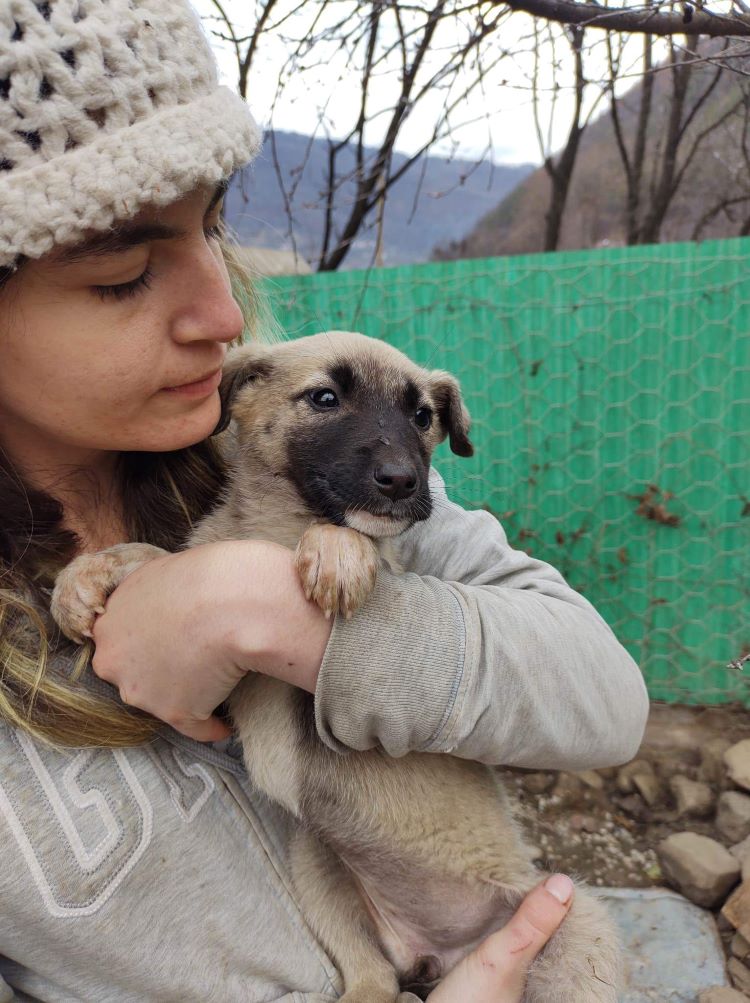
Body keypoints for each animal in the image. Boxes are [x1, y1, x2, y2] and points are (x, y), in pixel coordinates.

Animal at [52, 330, 621, 1003]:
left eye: (422, 416)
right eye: (324, 398)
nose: (404, 481)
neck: (272, 530)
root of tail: (438, 952)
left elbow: (358, 542)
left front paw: (339, 550)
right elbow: (159, 556)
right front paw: (85, 575)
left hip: (578, 927)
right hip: (317, 862)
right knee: (373, 975)